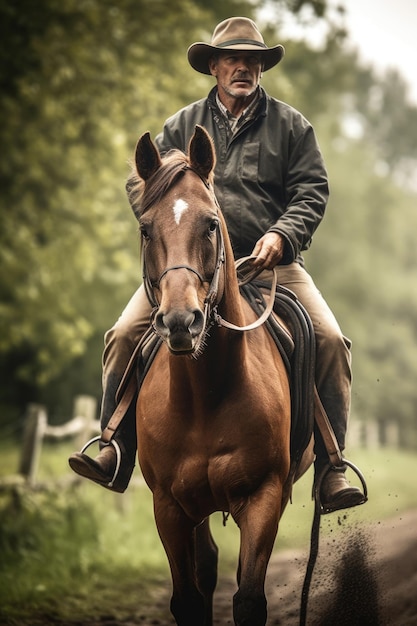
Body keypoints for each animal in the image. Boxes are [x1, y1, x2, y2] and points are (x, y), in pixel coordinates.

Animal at [132, 125, 310, 624]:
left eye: (211, 224)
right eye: (145, 228)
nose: (181, 321)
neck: (204, 394)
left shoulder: (264, 498)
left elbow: (249, 598)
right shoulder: (168, 507)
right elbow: (189, 599)